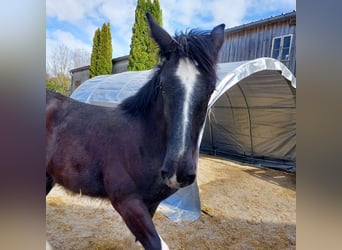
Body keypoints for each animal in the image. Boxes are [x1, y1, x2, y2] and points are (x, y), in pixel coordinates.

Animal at [46, 12, 226, 249]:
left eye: (211, 89)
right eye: (162, 86)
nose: (177, 172)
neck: (143, 141)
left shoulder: (151, 203)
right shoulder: (127, 202)